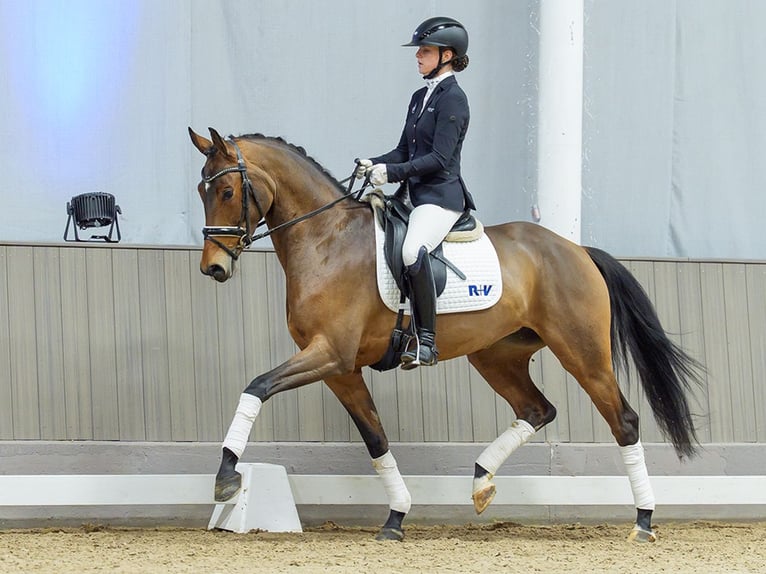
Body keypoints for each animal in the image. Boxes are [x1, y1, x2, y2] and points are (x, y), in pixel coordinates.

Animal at [188, 127, 702, 542]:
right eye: (201, 188)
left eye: (228, 190)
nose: (213, 268)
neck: (326, 240)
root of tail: (576, 249)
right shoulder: (340, 368)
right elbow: (375, 439)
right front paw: (396, 518)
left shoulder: (329, 354)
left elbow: (256, 387)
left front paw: (226, 477)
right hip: (496, 356)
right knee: (537, 409)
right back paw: (480, 482)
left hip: (582, 352)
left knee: (624, 421)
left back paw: (643, 520)